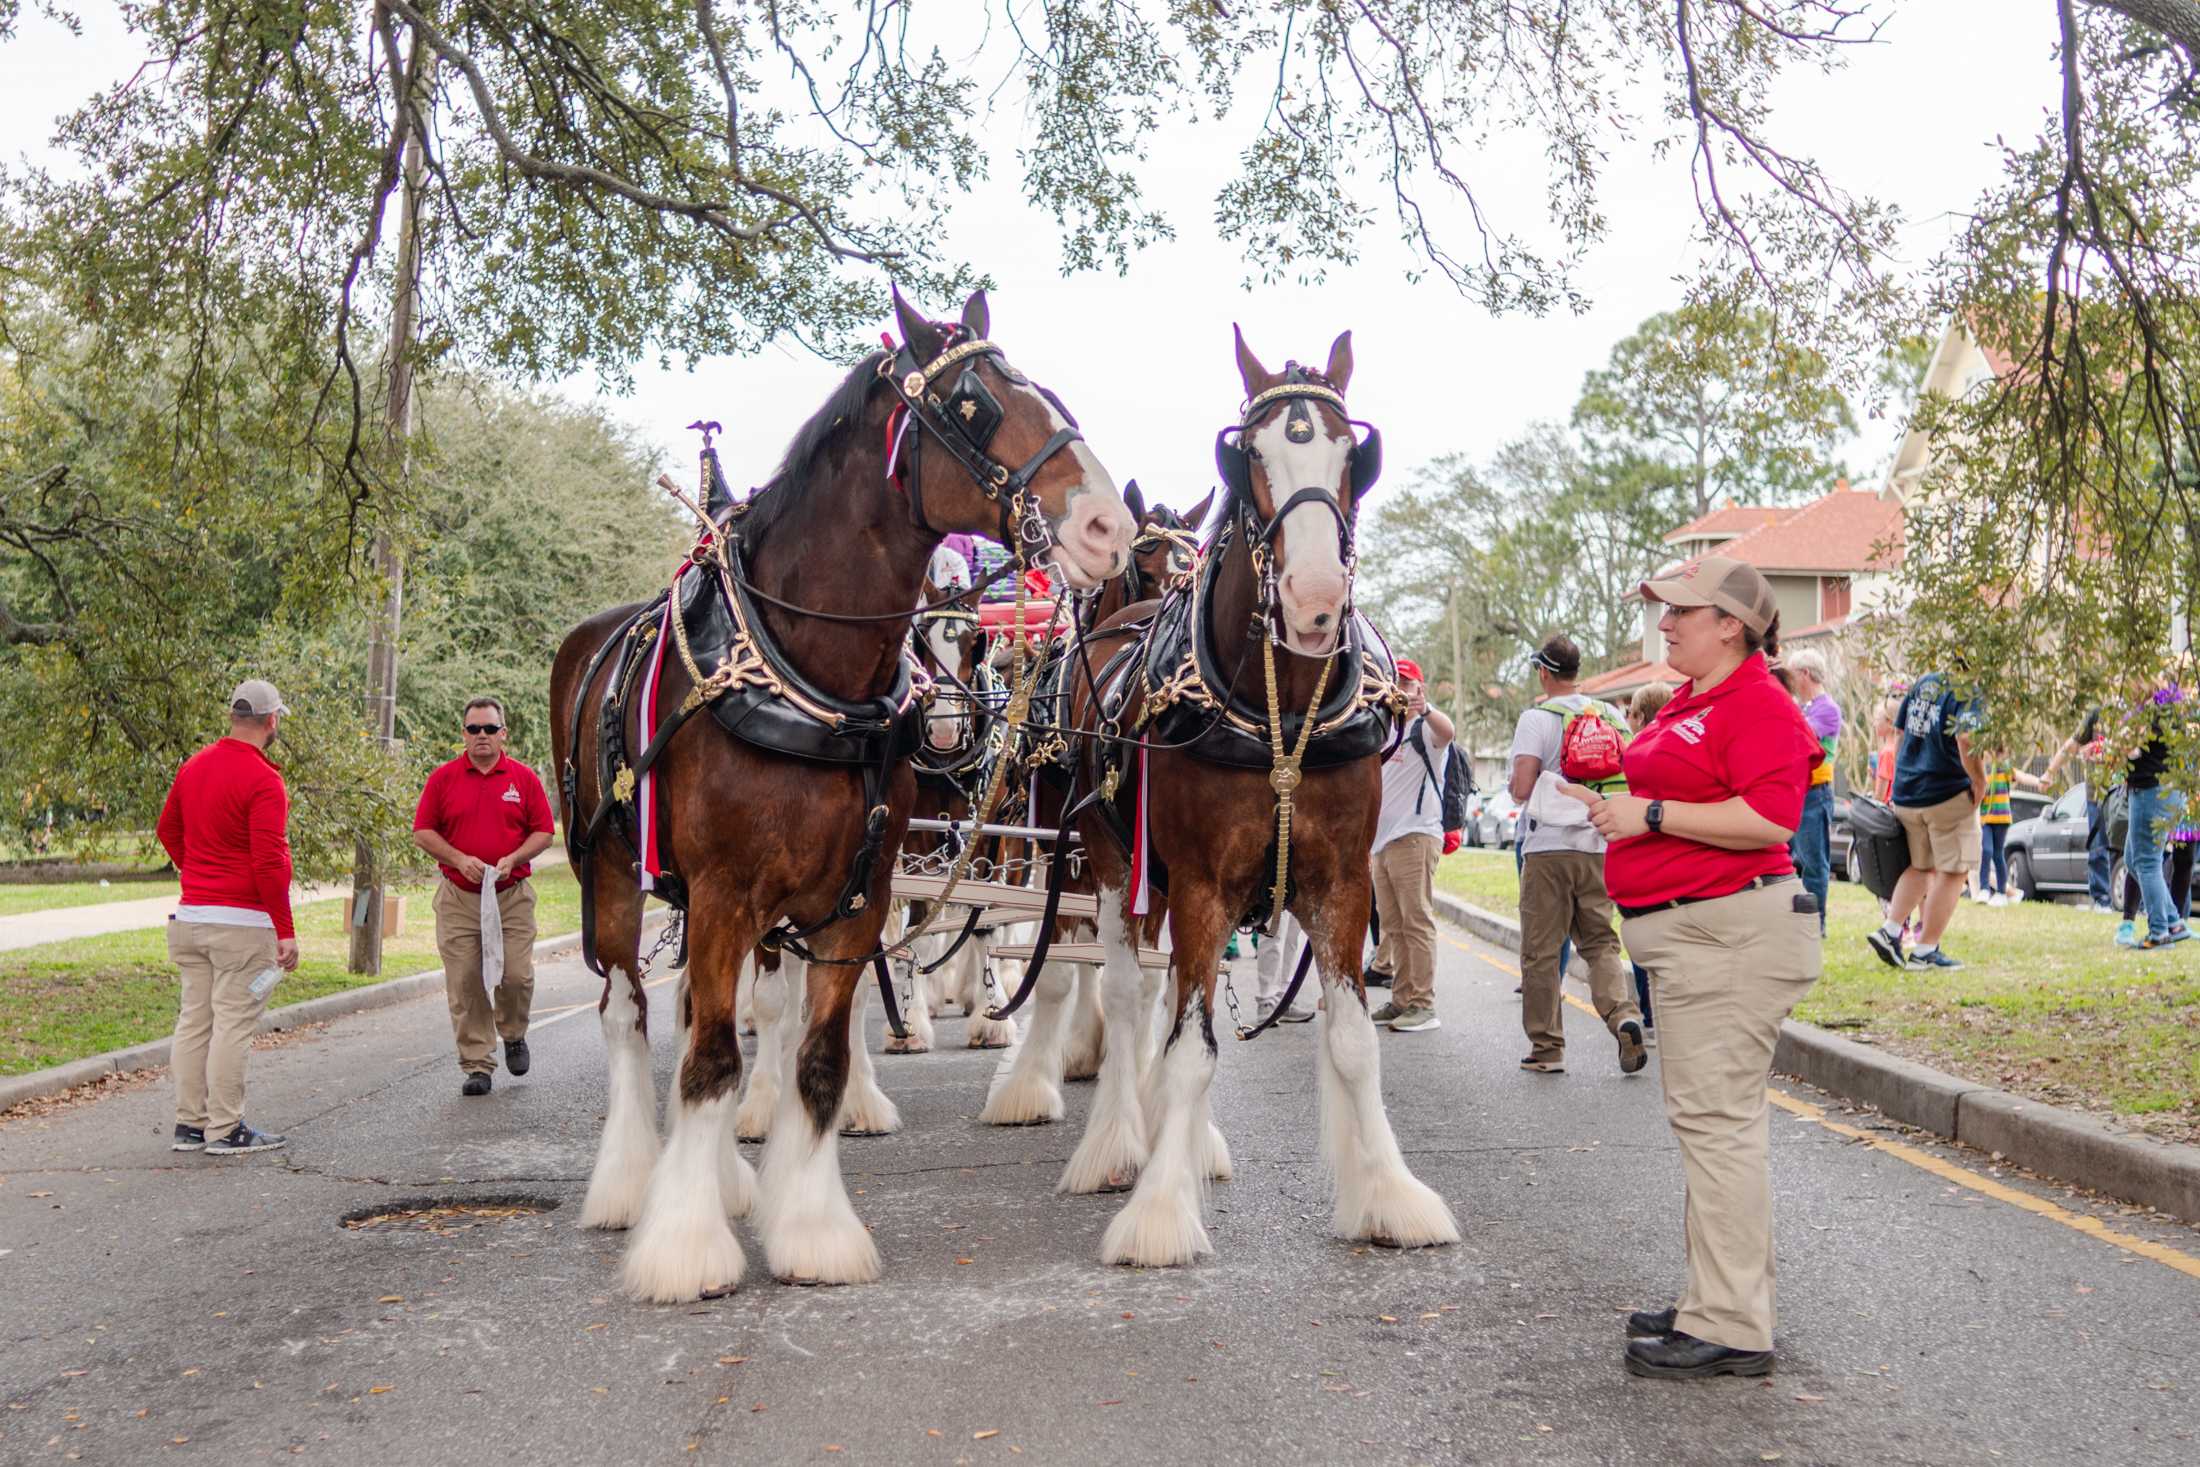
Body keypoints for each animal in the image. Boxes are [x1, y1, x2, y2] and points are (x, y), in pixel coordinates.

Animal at [550, 292, 1135, 1302]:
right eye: (975, 404)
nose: (1105, 525)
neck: (806, 672)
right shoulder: (723, 894)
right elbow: (712, 1059)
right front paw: (686, 1248)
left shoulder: (857, 897)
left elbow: (816, 1057)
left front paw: (811, 1228)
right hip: (613, 873)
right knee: (631, 1017)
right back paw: (629, 1186)